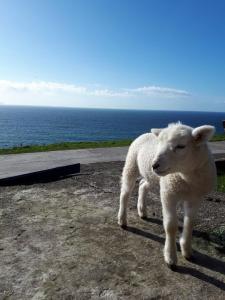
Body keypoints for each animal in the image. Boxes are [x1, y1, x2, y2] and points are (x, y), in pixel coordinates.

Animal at [118, 123, 216, 268]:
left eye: (181, 146)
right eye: (160, 144)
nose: (154, 165)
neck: (187, 179)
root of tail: (146, 133)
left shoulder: (195, 198)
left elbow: (190, 223)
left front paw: (187, 250)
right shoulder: (168, 194)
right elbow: (170, 226)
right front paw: (170, 257)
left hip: (152, 176)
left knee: (142, 185)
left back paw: (142, 211)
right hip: (131, 164)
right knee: (125, 193)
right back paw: (122, 220)